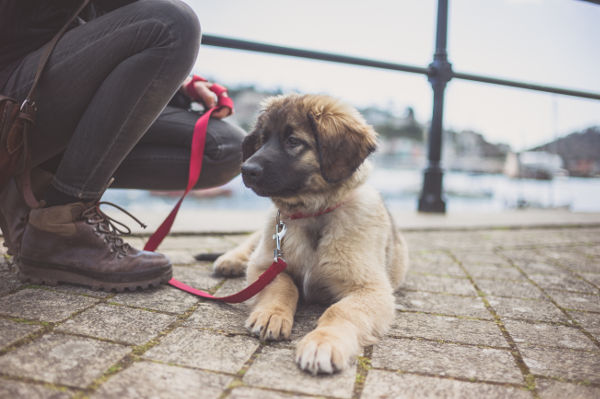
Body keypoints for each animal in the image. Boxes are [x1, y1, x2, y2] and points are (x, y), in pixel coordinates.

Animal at [212, 94, 408, 376]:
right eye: (263, 139)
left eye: (293, 141)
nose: (245, 169)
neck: (314, 215)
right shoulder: (266, 264)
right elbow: (284, 285)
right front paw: (272, 314)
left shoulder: (371, 289)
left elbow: (341, 310)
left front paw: (323, 342)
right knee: (251, 242)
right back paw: (230, 260)